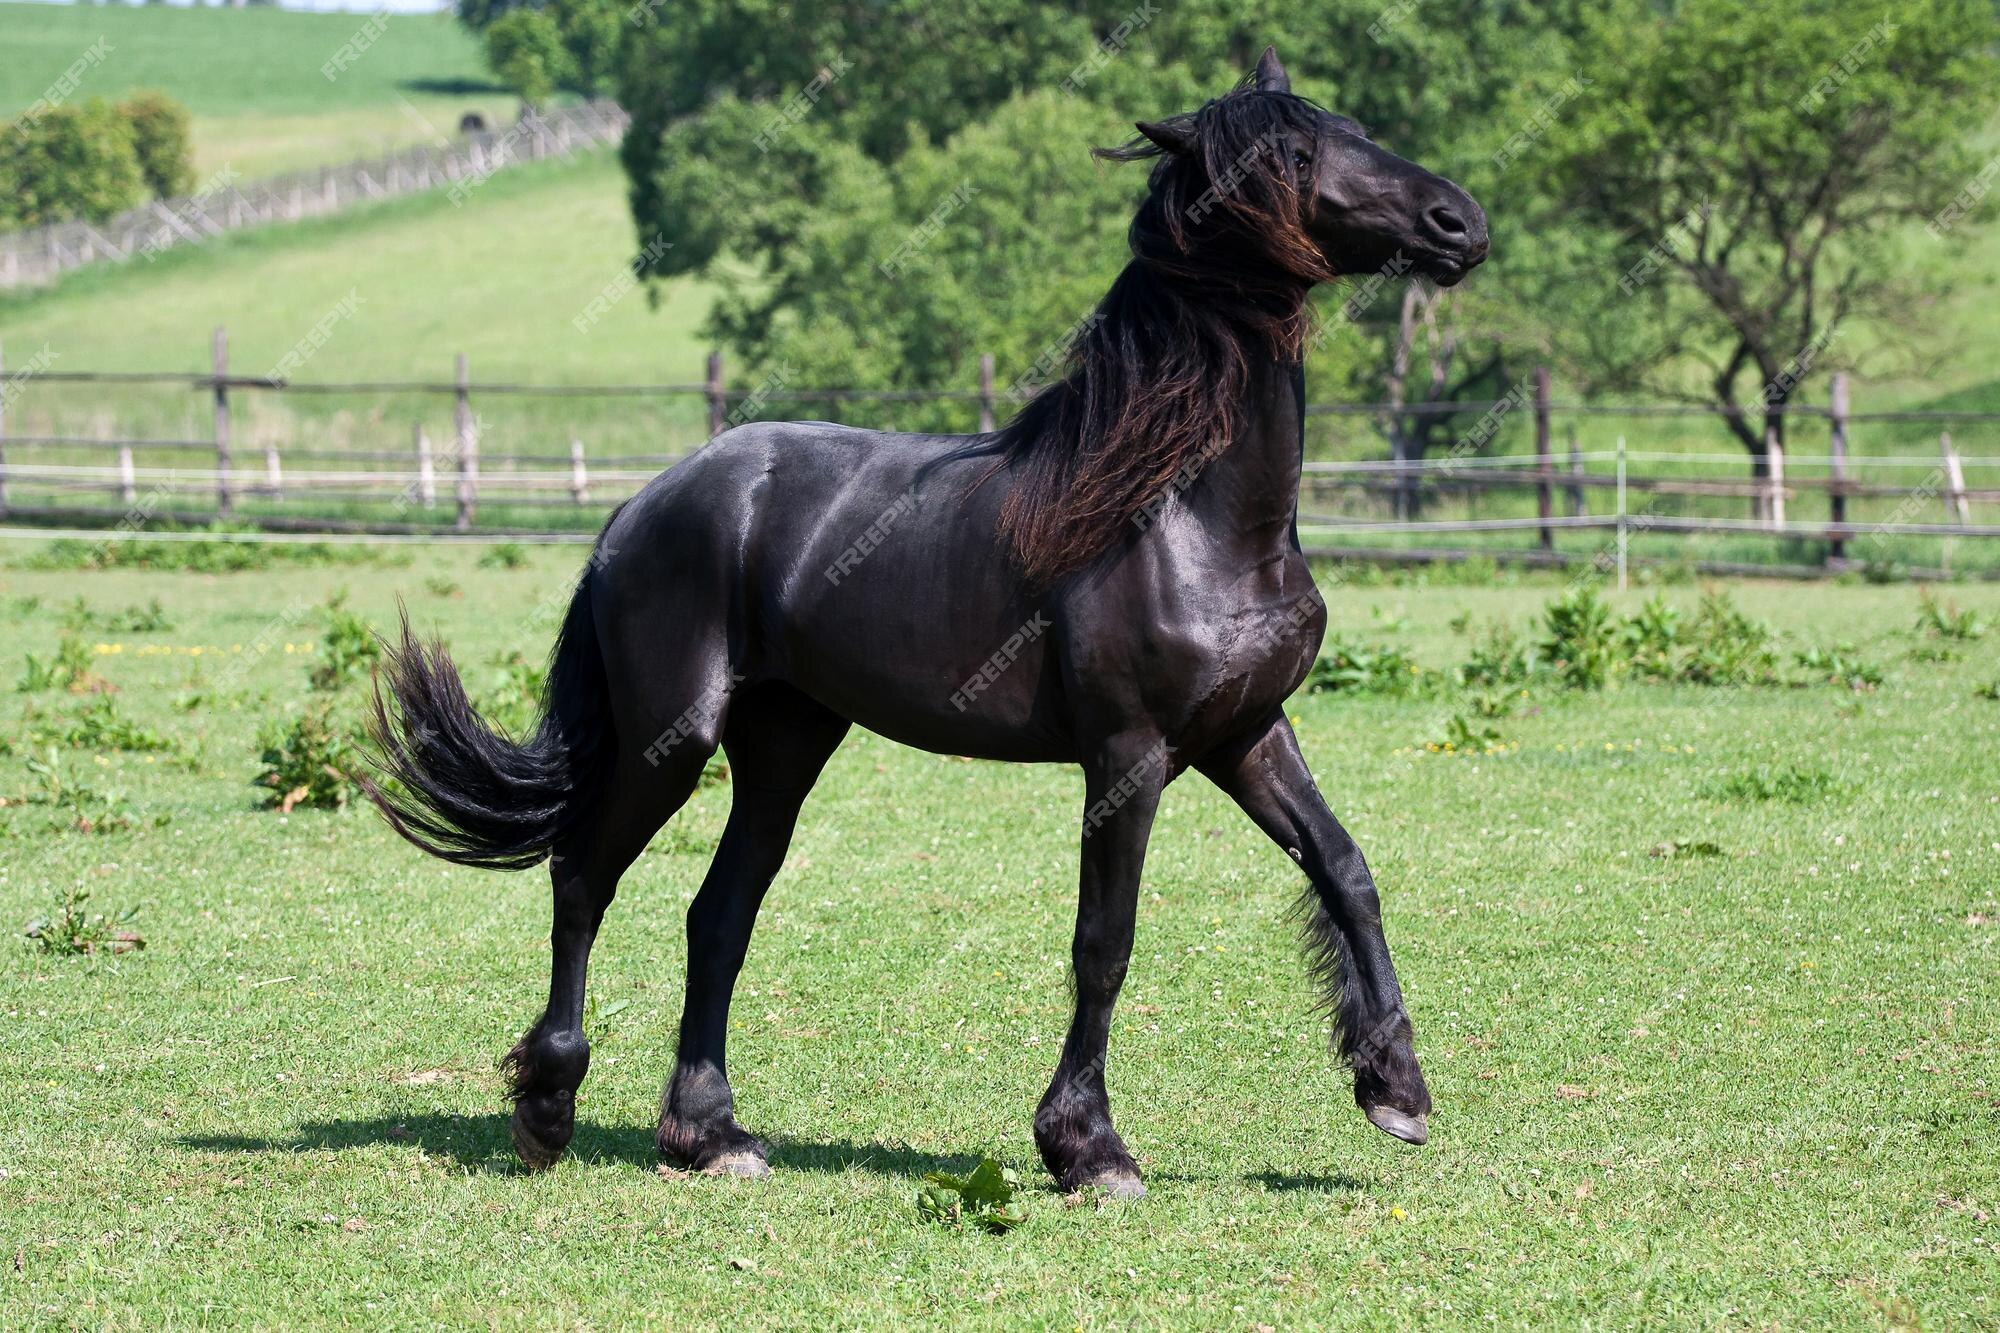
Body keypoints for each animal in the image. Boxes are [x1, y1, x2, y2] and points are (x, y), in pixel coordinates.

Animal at [372, 49, 1488, 1192]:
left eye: (1351, 128)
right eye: (1294, 155)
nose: (1458, 220)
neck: (1188, 514)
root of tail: (645, 504)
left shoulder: (1245, 733)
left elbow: (1346, 870)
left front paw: (1395, 1091)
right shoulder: (1126, 757)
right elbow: (1105, 941)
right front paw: (1087, 1147)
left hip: (783, 743)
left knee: (717, 915)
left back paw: (710, 1134)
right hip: (668, 739)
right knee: (582, 876)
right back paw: (547, 1109)